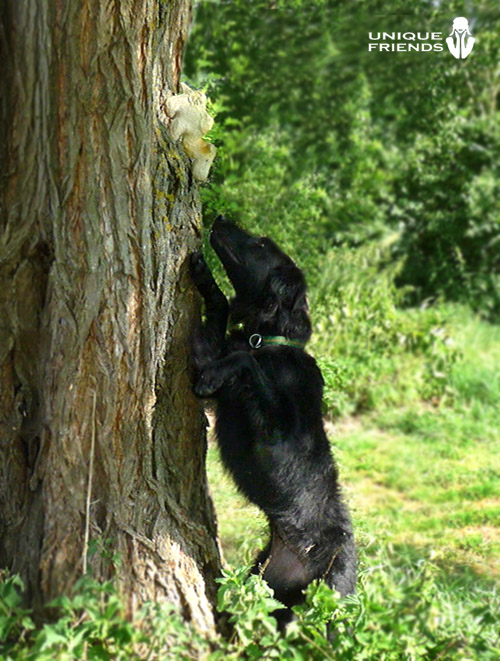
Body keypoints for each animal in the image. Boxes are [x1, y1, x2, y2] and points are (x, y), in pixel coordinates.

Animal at [190, 218, 356, 624]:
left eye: (262, 244)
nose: (219, 219)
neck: (267, 339)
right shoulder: (206, 351)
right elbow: (219, 310)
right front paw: (204, 276)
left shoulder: (277, 436)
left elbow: (247, 365)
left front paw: (218, 374)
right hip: (260, 585)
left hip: (325, 608)